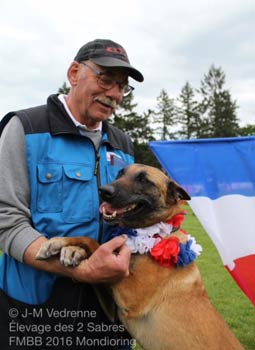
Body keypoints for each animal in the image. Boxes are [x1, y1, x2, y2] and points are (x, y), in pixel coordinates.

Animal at [36, 164, 243, 350]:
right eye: (120, 173)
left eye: (144, 180)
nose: (103, 191)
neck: (157, 234)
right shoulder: (113, 309)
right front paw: (72, 250)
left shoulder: (129, 294)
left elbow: (93, 242)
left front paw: (59, 243)